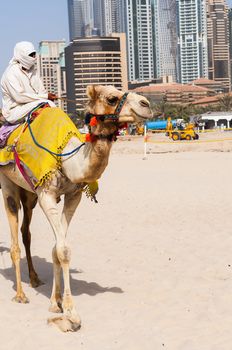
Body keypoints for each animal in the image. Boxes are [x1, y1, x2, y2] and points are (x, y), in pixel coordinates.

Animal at [0, 85, 152, 330]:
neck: (68, 159)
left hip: (29, 195)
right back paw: (21, 294)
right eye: (112, 98)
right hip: (8, 184)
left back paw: (34, 278)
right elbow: (63, 250)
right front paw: (71, 313)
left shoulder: (73, 195)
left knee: (26, 233)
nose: (146, 104)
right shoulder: (47, 195)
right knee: (14, 237)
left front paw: (55, 303)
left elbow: (56, 248)